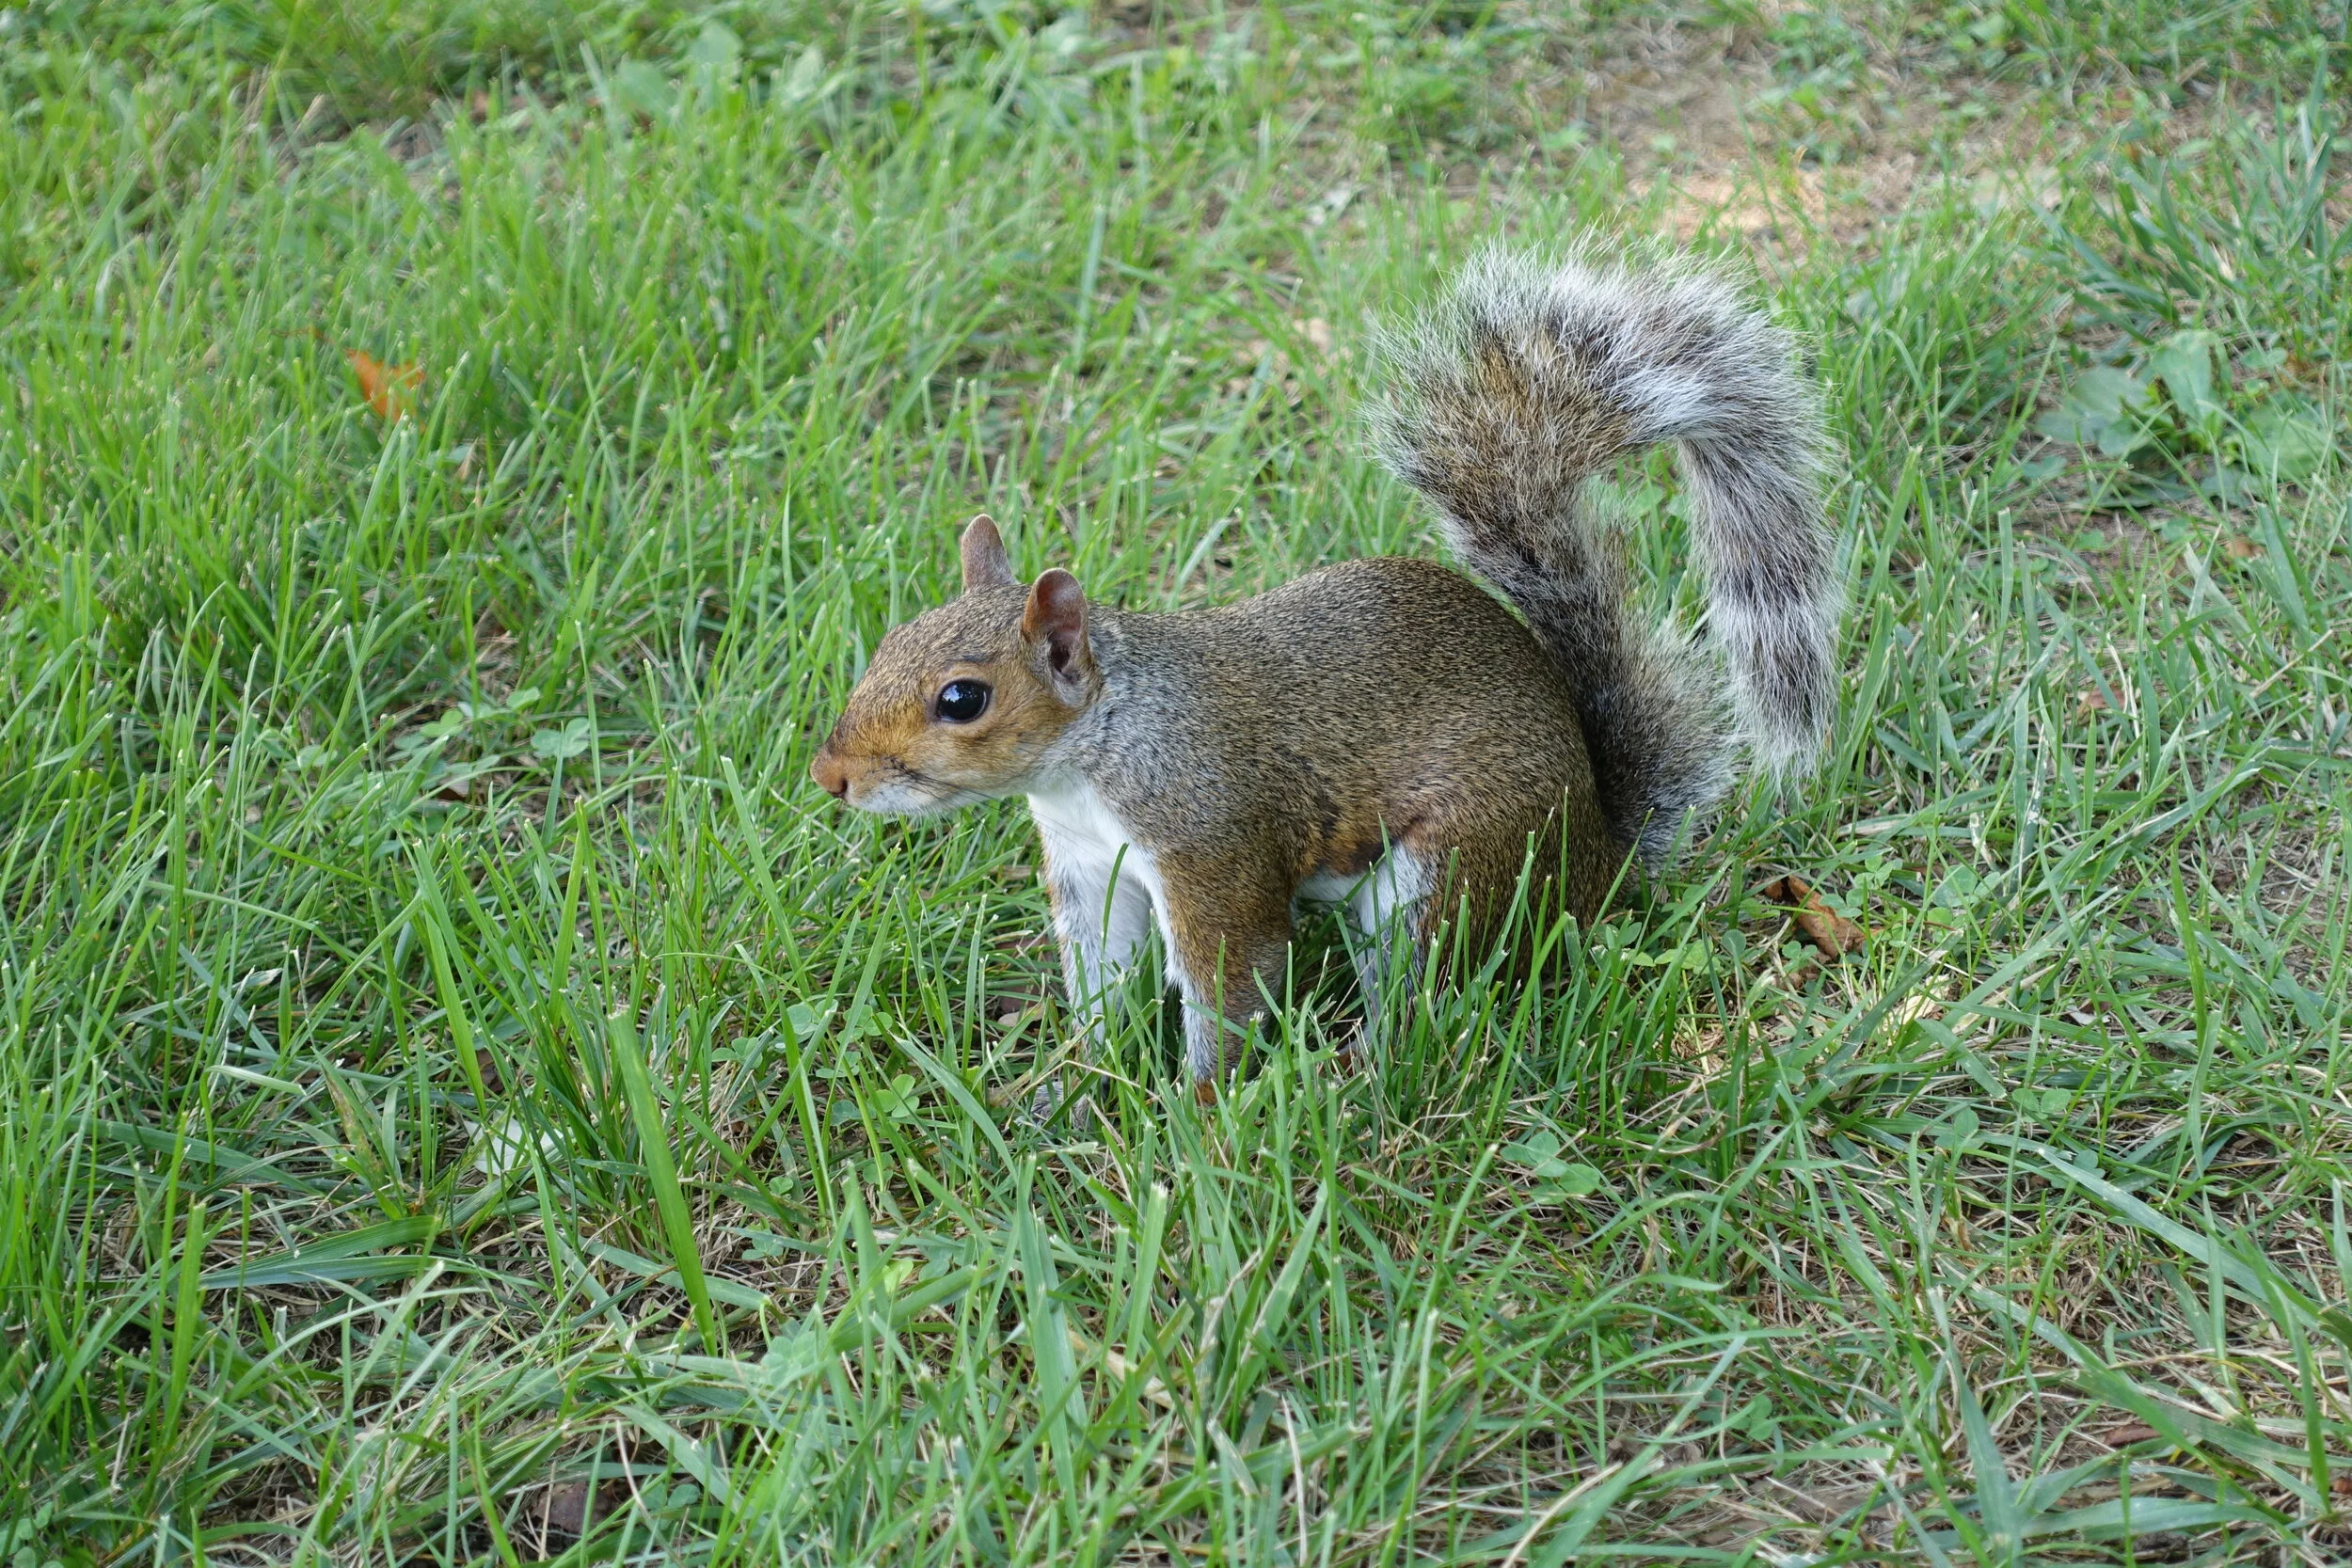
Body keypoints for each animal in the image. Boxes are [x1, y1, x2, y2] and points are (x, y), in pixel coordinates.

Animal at [810, 246, 1841, 1104]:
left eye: (961, 698)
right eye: (888, 641)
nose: (831, 776)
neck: (1103, 745)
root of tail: (1597, 855)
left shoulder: (1210, 846)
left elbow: (1232, 981)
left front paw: (1193, 1115)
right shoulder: (1086, 867)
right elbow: (1101, 980)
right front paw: (1070, 1082)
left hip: (1452, 869)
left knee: (1426, 995)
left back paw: (1359, 1073)